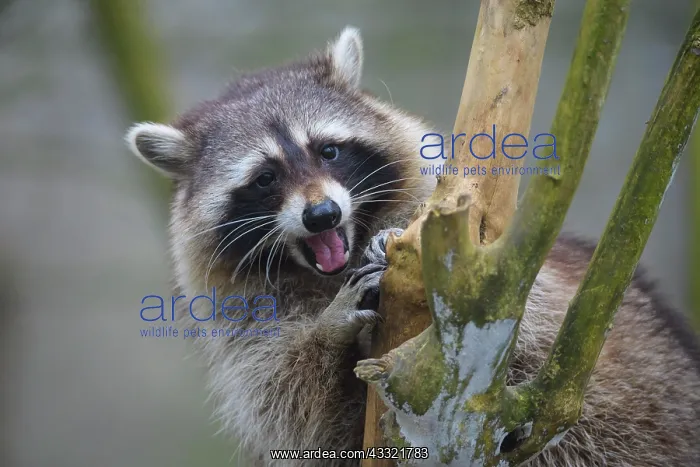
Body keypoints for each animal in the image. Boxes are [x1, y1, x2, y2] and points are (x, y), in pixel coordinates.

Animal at [125, 27, 700, 466]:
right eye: (265, 178)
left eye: (328, 150)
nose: (323, 215)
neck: (324, 272)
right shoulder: (244, 324)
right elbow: (294, 406)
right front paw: (327, 332)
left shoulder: (502, 270)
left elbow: (529, 322)